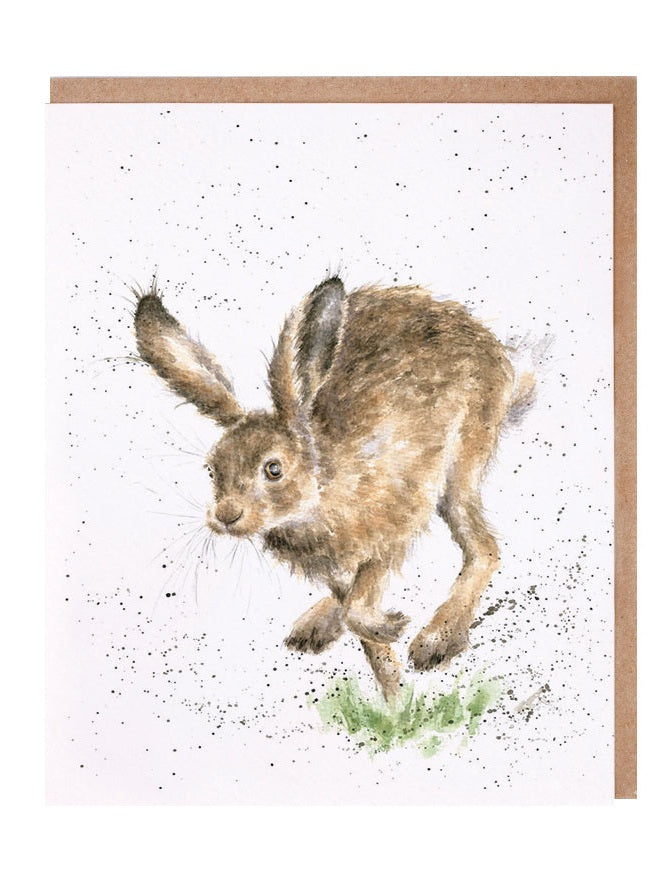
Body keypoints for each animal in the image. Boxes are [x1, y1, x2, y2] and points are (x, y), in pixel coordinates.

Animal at [133, 275, 539, 700]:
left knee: (484, 549)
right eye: (212, 470)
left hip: (461, 464)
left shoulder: (392, 526)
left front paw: (393, 639)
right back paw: (314, 628)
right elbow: (354, 615)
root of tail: (495, 351)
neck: (320, 488)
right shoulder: (334, 566)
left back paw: (436, 642)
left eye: (273, 469)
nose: (227, 515)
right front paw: (392, 685)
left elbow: (359, 607)